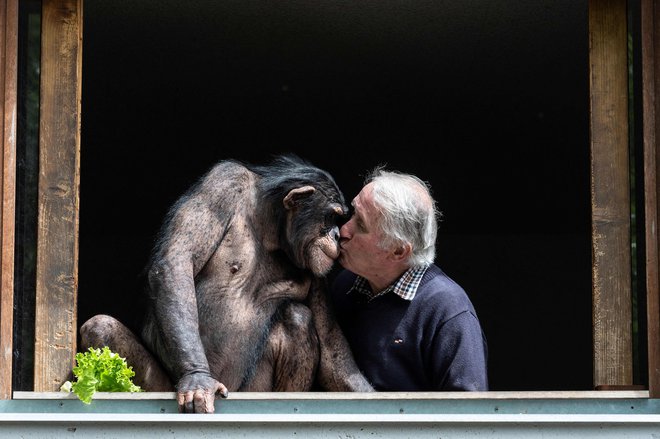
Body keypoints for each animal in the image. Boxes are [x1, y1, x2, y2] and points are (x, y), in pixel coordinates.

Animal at [80, 154, 374, 412]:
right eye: (332, 216)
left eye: (340, 219)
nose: (337, 235)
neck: (270, 227)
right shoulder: (222, 184)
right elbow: (177, 262)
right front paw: (197, 379)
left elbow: (331, 347)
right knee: (100, 327)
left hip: (251, 390)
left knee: (297, 318)